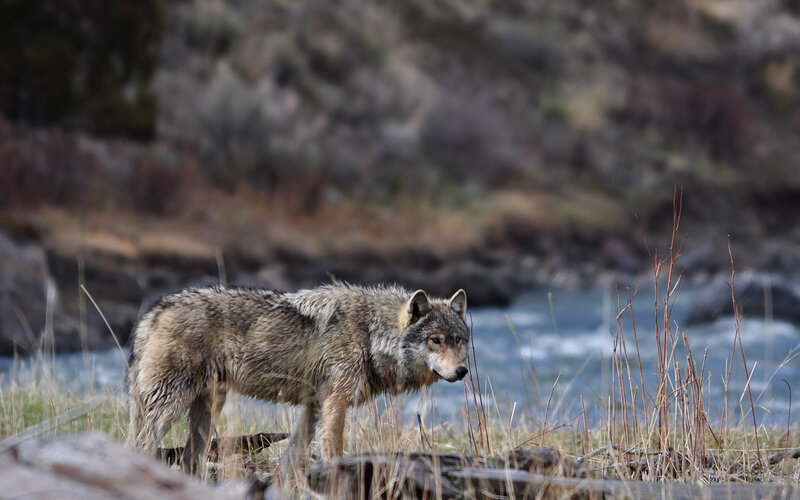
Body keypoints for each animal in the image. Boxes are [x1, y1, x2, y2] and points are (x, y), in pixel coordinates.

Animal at [126, 282, 470, 475]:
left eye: (459, 340)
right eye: (436, 340)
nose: (462, 371)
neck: (371, 334)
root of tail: (152, 314)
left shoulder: (315, 406)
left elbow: (292, 457)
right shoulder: (335, 403)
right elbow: (333, 451)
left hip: (205, 411)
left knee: (188, 459)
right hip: (170, 407)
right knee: (140, 446)